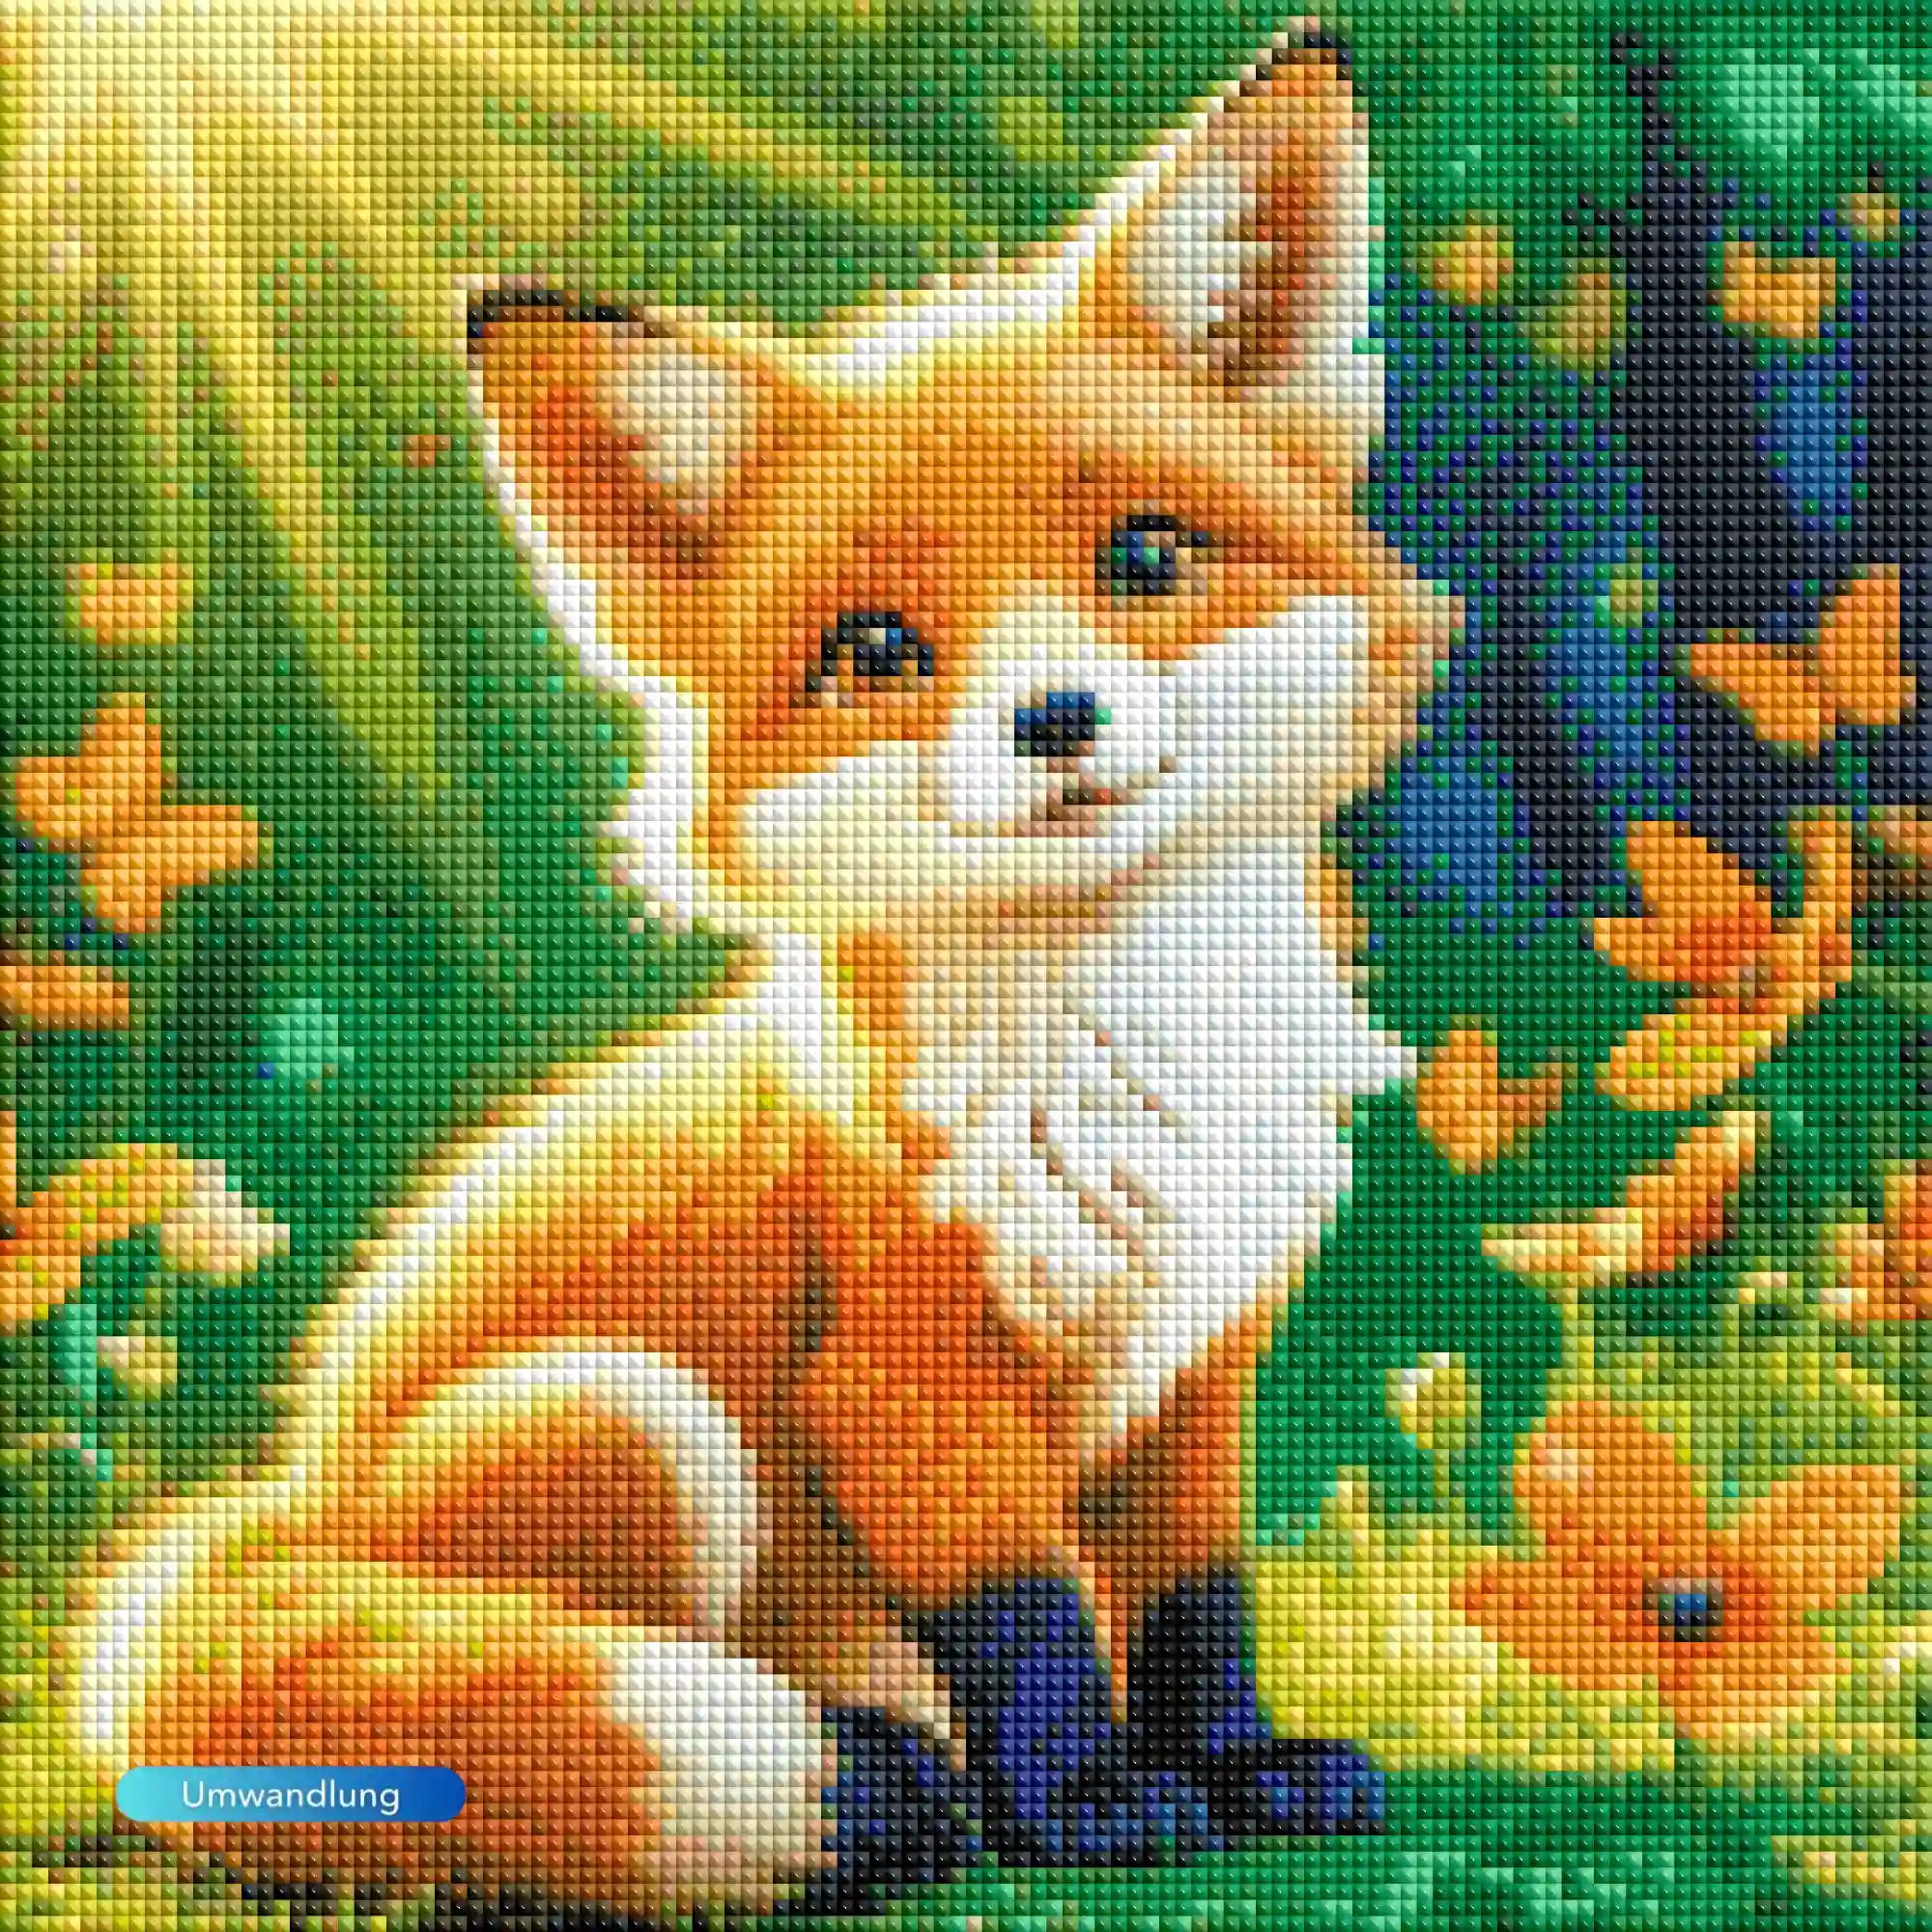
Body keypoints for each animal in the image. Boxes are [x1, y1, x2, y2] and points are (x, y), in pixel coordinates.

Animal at [61, 25, 1458, 1918]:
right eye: (875, 652)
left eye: (1148, 558)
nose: (1058, 720)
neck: (1130, 1070)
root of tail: (267, 1500)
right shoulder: (901, 1385)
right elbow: (1030, 1625)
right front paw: (1091, 1802)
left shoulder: (1193, 1370)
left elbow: (1191, 1611)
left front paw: (1232, 1768)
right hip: (627, 1419)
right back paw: (863, 1791)